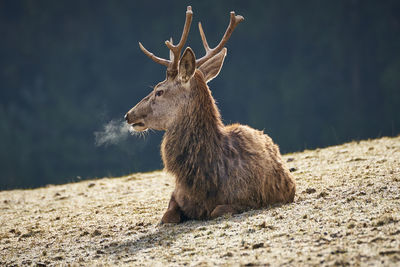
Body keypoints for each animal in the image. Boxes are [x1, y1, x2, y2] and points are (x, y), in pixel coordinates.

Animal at [126, 6, 296, 224]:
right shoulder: (175, 194)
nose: (128, 115)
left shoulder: (249, 198)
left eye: (159, 91)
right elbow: (167, 215)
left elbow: (216, 211)